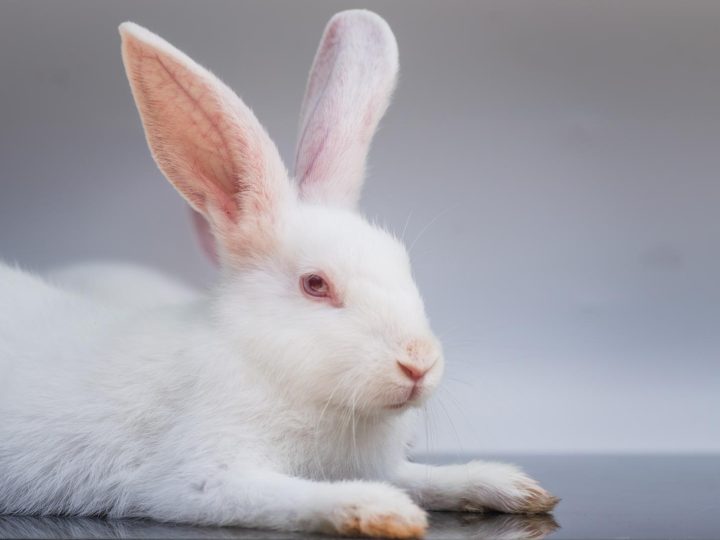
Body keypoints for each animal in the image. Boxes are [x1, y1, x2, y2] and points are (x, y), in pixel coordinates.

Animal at [0, 10, 558, 539]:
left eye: (403, 264)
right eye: (315, 285)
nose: (418, 363)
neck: (267, 364)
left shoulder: (377, 464)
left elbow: (420, 477)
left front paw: (511, 486)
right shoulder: (202, 474)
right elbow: (284, 496)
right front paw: (380, 510)